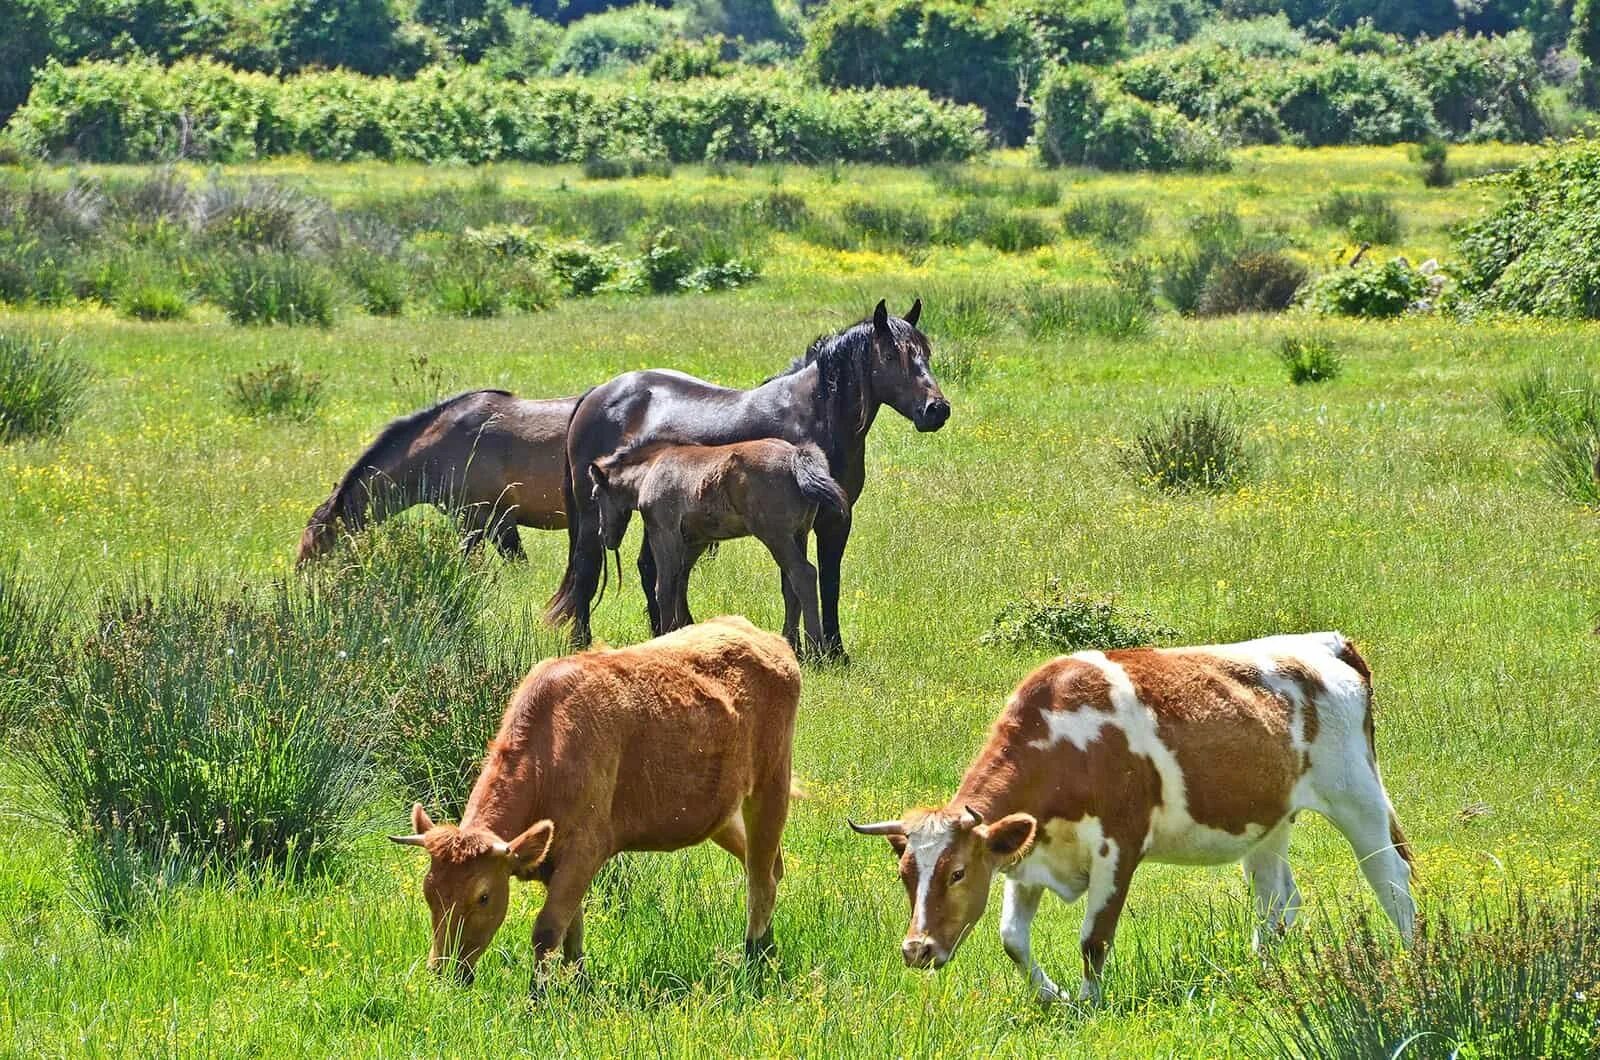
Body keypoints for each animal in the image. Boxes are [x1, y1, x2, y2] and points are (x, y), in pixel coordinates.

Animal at [390, 615, 801, 991]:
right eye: (429, 892)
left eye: (484, 896)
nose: (444, 973)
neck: (551, 749)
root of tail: (760, 636)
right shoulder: (557, 861)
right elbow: (572, 929)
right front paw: (580, 986)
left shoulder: (585, 849)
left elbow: (548, 929)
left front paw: (537, 1000)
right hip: (721, 813)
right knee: (767, 866)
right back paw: (768, 949)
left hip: (771, 784)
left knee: (761, 879)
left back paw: (754, 959)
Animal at [588, 439, 850, 657]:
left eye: (595, 496)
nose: (603, 536)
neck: (651, 469)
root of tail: (796, 455)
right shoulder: (696, 540)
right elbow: (681, 583)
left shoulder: (664, 532)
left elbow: (664, 588)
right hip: (799, 534)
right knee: (792, 586)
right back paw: (791, 645)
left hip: (776, 535)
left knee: (804, 575)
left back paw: (816, 650)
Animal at [849, 632, 1416, 1006]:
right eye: (905, 875)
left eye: (958, 872)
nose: (917, 949)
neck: (1068, 743)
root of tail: (1327, 642)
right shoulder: (1026, 855)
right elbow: (1012, 938)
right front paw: (1054, 996)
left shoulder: (1119, 846)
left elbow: (1093, 938)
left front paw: (1090, 1005)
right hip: (1269, 821)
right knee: (1277, 902)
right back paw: (1262, 975)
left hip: (1357, 796)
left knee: (1392, 881)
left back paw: (1414, 966)